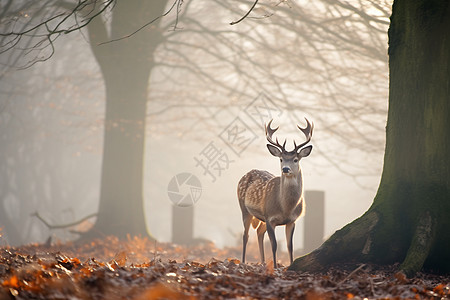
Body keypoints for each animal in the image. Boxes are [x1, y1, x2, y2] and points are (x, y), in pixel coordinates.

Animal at [239, 118, 312, 268]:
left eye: (295, 159)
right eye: (281, 159)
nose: (285, 169)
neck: (285, 208)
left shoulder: (292, 220)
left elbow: (290, 246)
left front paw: (290, 265)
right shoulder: (270, 217)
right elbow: (274, 245)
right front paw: (275, 267)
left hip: (261, 217)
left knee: (259, 233)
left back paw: (262, 262)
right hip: (244, 207)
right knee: (245, 235)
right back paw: (242, 262)